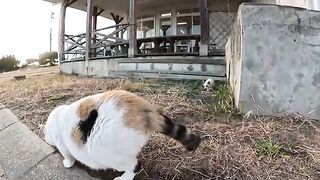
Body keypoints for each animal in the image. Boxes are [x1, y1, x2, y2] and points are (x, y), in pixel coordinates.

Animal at [44, 90, 201, 180]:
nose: (46, 138)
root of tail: (144, 108)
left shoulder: (62, 144)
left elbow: (67, 156)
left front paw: (67, 163)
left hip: (104, 152)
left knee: (135, 165)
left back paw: (123, 177)